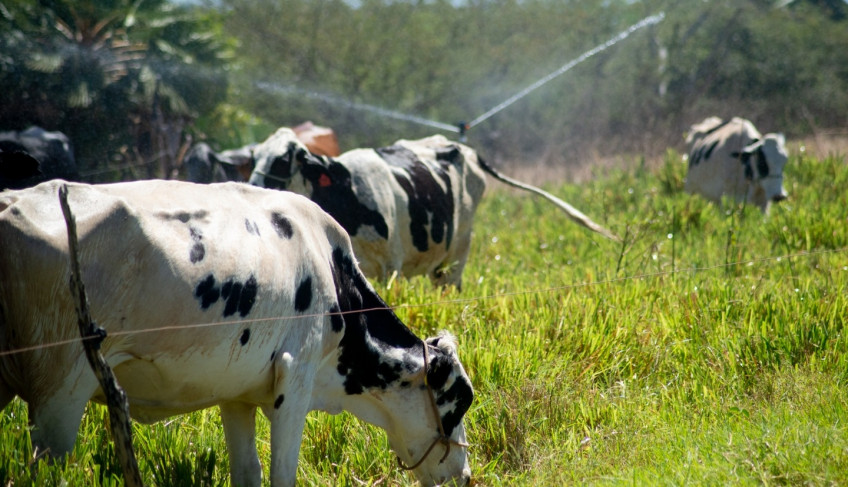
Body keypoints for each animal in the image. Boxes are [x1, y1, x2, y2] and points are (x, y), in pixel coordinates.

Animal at [0, 180, 474, 487]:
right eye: (459, 402)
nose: (466, 476)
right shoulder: (296, 379)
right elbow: (282, 476)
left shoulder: (237, 393)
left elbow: (248, 473)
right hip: (61, 388)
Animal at [247, 129, 616, 290]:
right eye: (255, 156)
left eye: (284, 158)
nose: (253, 185)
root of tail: (463, 148)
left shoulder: (390, 269)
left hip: (459, 249)